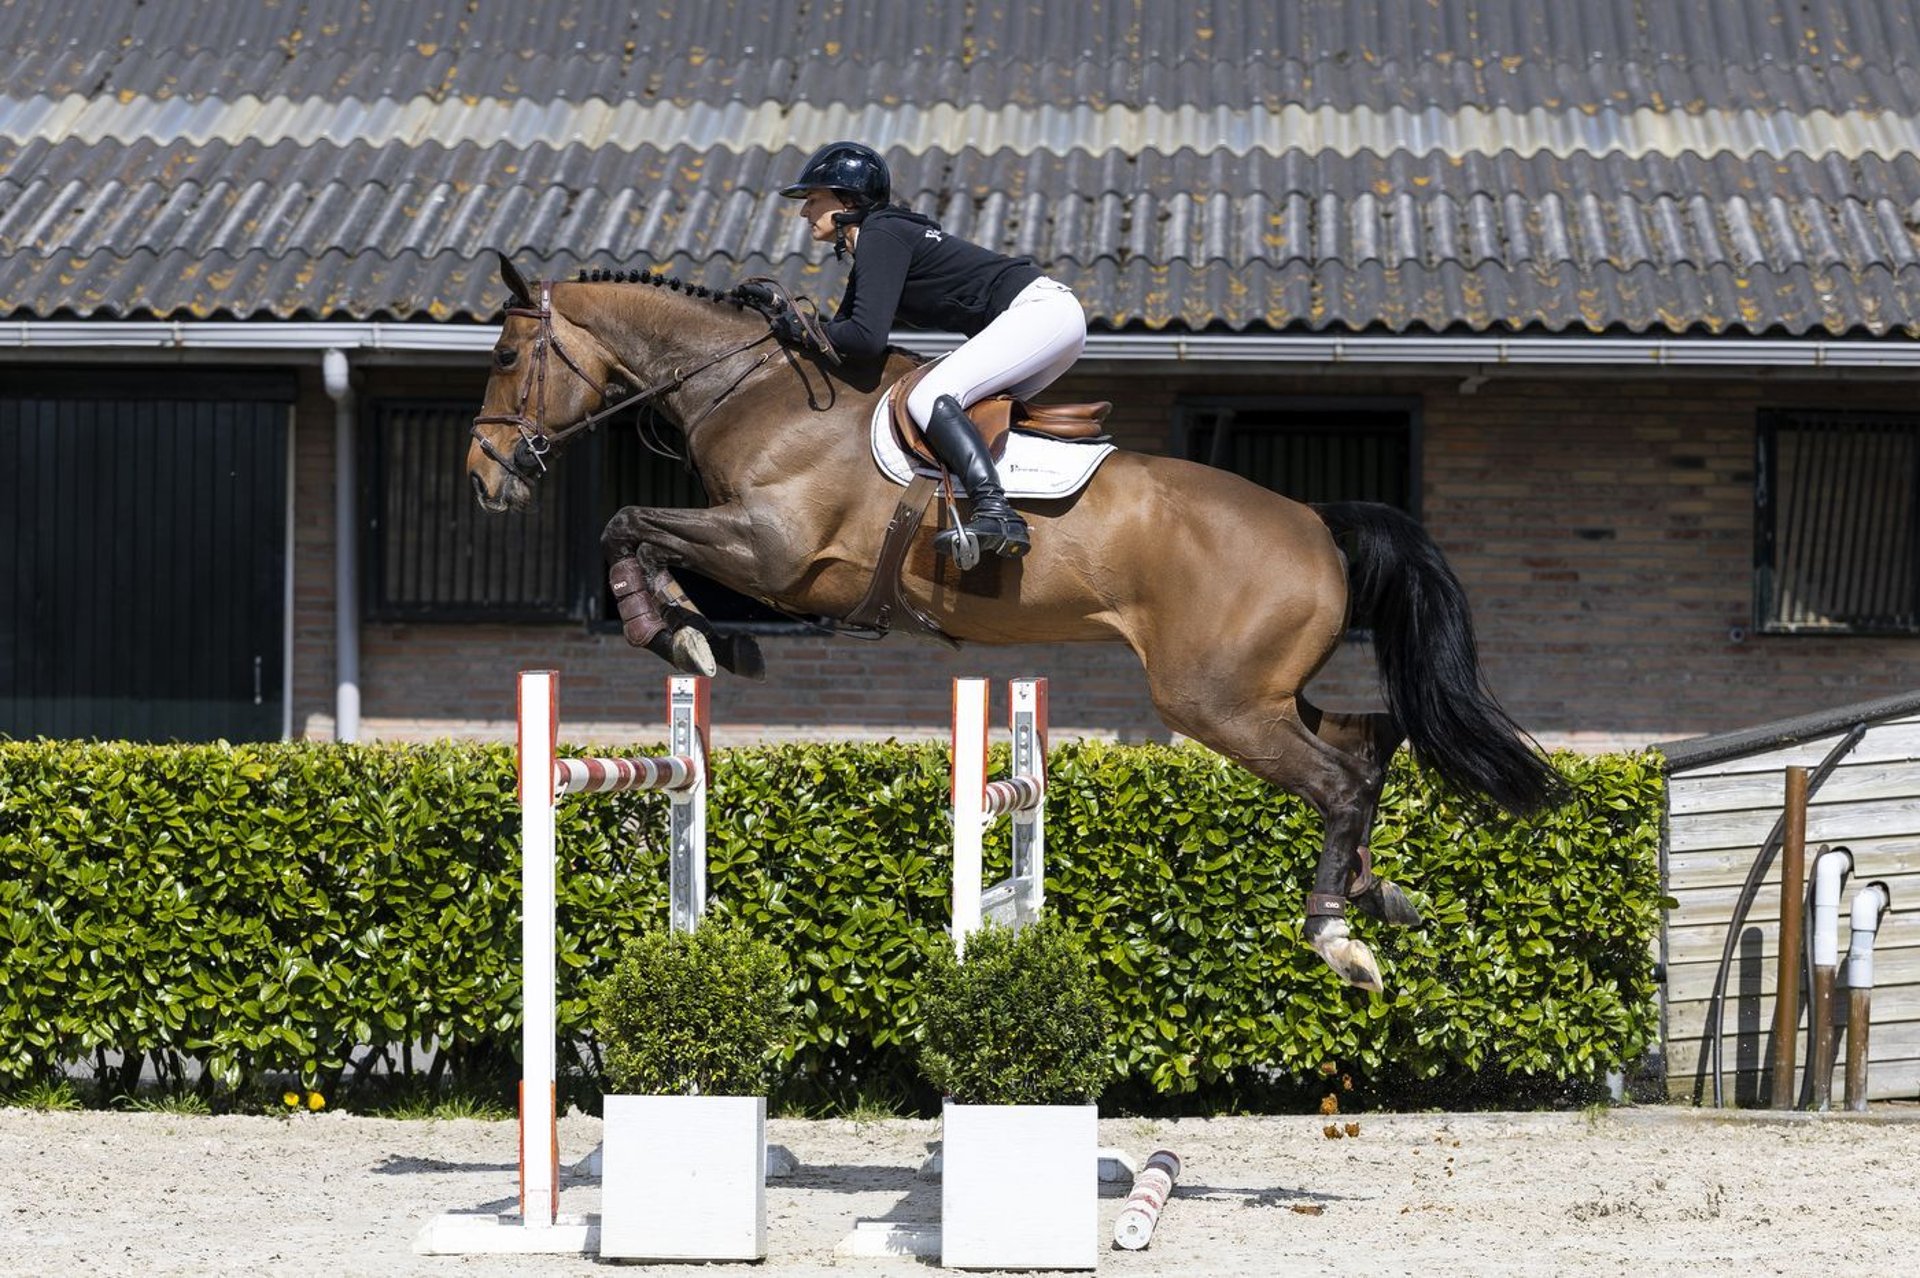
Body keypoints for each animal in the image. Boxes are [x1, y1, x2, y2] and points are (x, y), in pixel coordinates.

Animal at [467, 254, 1567, 993]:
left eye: (511, 354)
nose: (486, 478)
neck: (758, 390)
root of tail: (1317, 521)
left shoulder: (776, 554)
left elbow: (626, 521)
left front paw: (678, 630)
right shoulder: (760, 555)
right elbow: (640, 532)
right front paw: (699, 633)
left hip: (1215, 702)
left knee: (1339, 778)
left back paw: (1336, 932)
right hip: (1260, 692)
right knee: (1368, 746)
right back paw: (1374, 893)